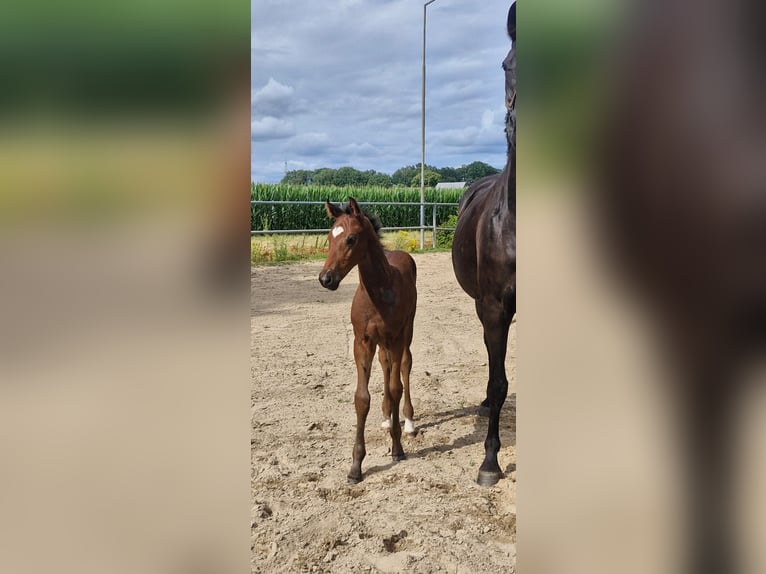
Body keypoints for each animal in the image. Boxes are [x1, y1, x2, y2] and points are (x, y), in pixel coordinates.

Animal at [320, 199, 420, 486]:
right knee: (386, 366)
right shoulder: (362, 342)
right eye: (329, 238)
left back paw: (408, 422)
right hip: (382, 342)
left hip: (406, 331)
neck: (378, 291)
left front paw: (397, 449)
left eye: (351, 239)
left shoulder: (395, 337)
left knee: (404, 365)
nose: (326, 278)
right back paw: (386, 416)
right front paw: (355, 467)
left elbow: (396, 387)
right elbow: (362, 398)